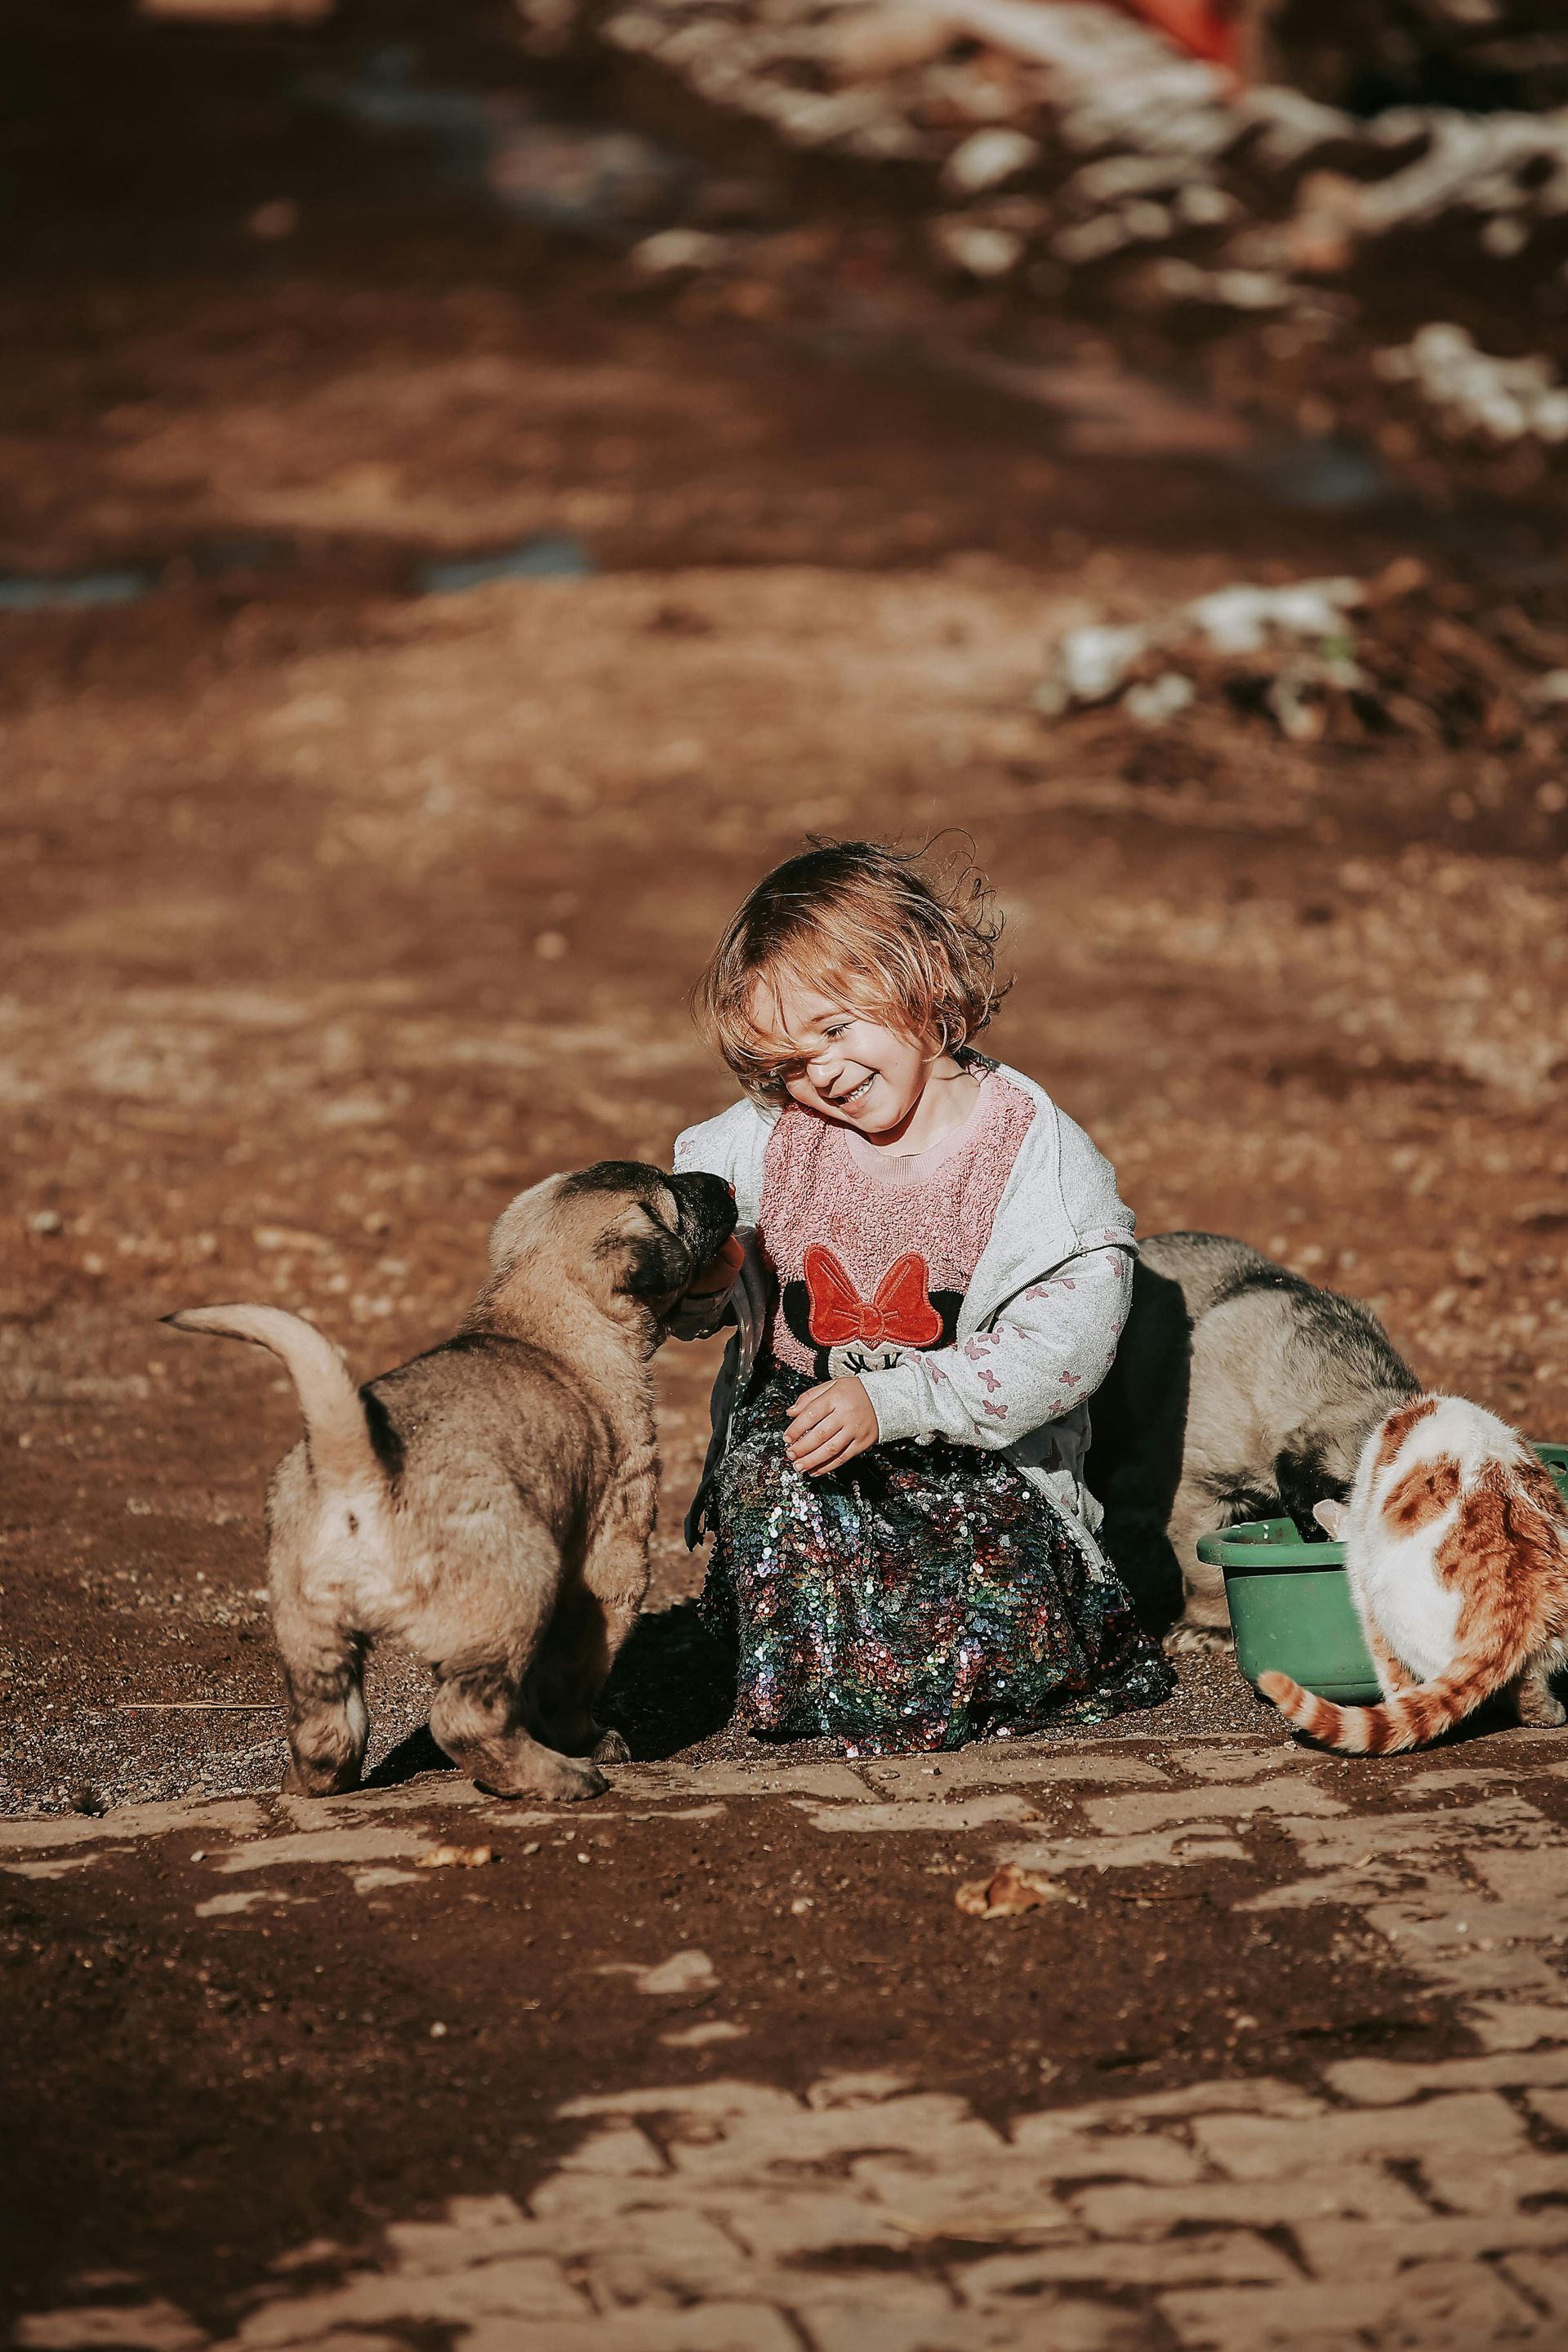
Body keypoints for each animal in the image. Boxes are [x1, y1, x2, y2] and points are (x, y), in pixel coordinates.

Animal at [1259, 1383, 1568, 1759]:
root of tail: (1511, 1593)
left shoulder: (1361, 1575)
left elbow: (1388, 1666)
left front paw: (1396, 1700)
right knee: (1528, 1682)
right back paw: (1549, 1714)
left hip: (1389, 1603)